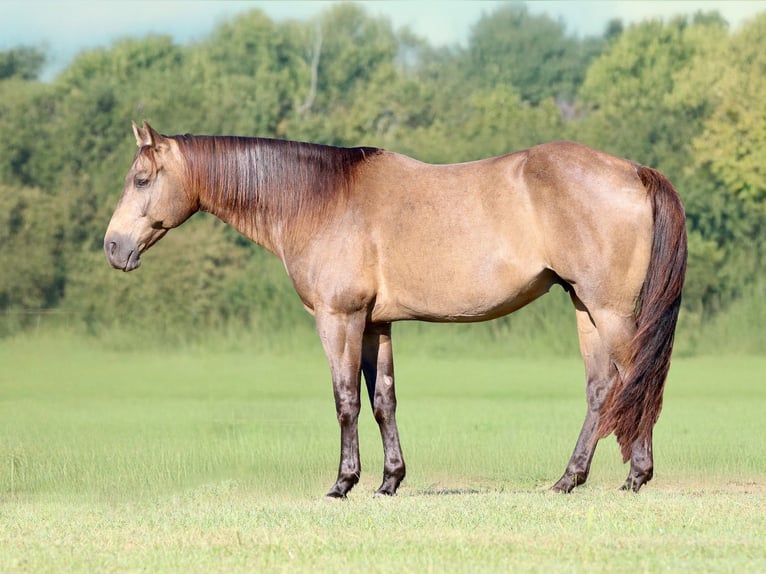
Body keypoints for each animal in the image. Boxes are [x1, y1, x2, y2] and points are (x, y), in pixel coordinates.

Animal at [104, 121, 687, 498]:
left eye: (141, 179)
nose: (113, 248)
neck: (321, 200)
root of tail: (634, 170)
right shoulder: (375, 324)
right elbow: (383, 400)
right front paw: (389, 480)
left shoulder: (338, 319)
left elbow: (345, 401)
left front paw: (343, 483)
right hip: (585, 308)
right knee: (601, 389)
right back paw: (570, 479)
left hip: (610, 310)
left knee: (636, 380)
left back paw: (635, 475)